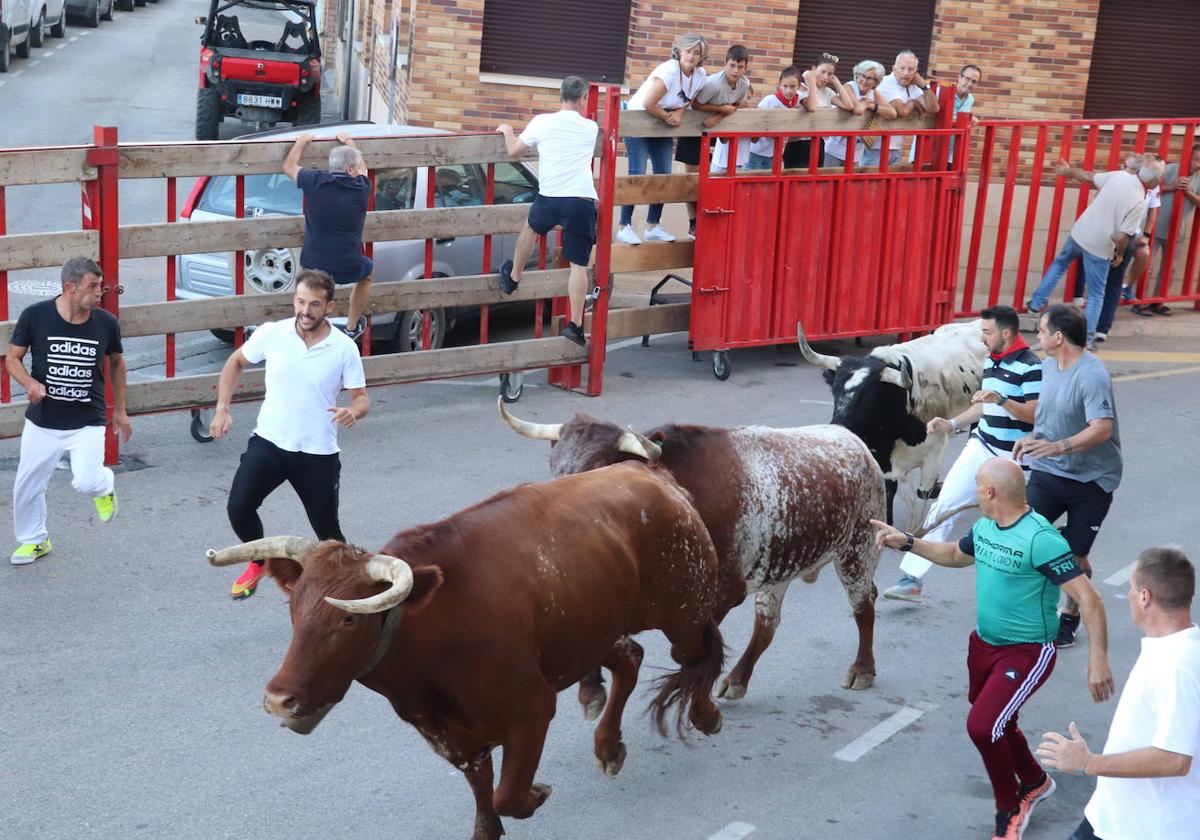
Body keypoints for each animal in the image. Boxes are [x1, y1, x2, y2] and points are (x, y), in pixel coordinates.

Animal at [206, 458, 729, 840]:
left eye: (349, 618)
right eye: (294, 608)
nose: (279, 699)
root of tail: (651, 474)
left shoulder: (531, 710)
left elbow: (508, 795)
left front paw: (537, 793)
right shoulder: (453, 735)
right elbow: (484, 798)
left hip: (681, 612)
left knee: (700, 653)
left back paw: (706, 715)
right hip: (594, 629)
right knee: (630, 659)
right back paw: (609, 747)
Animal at [499, 396, 892, 705]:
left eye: (597, 469)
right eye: (556, 468)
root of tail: (854, 442)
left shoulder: (723, 590)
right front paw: (592, 689)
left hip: (856, 552)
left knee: (863, 604)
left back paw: (863, 669)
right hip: (780, 566)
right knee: (767, 623)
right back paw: (736, 680)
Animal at [796, 319, 984, 520]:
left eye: (869, 397)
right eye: (834, 390)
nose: (838, 427)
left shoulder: (936, 448)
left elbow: (924, 493)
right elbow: (889, 490)